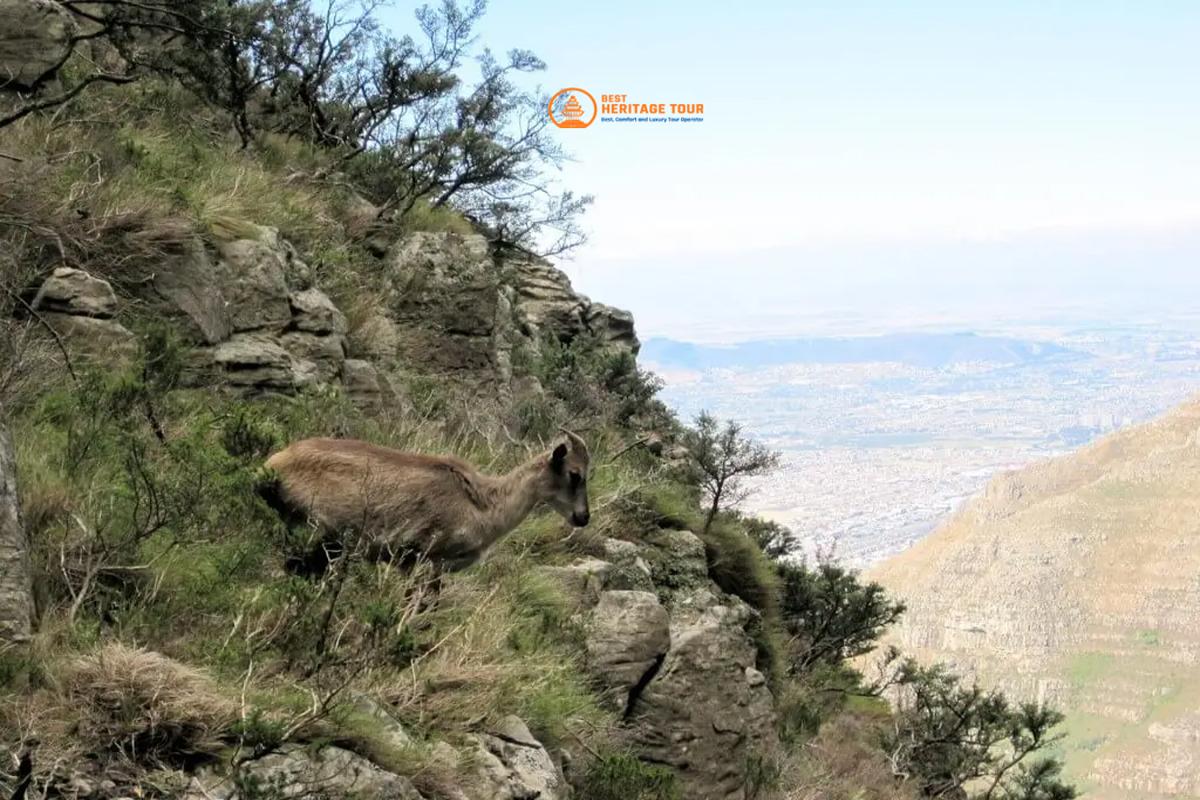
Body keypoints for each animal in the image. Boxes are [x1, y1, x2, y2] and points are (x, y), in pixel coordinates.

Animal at [261, 431, 590, 568]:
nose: (583, 517)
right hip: (314, 531)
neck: (481, 503)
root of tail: (273, 464)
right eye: (575, 473)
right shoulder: (426, 555)